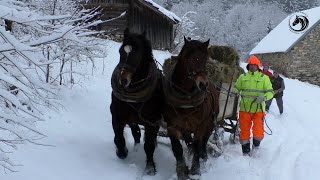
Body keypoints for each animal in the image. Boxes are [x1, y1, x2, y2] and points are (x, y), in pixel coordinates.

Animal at [110, 28, 165, 175]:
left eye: (137, 52)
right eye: (120, 51)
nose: (123, 81)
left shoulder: (152, 122)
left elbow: (149, 146)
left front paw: (150, 168)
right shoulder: (117, 116)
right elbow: (118, 137)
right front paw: (122, 152)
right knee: (136, 132)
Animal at [164, 37, 219, 179]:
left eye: (206, 59)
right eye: (192, 58)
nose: (203, 84)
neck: (185, 97)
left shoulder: (201, 125)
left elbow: (197, 145)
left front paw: (195, 169)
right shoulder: (172, 126)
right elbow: (177, 148)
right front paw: (182, 171)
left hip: (210, 123)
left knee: (203, 143)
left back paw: (204, 157)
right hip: (186, 127)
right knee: (189, 143)